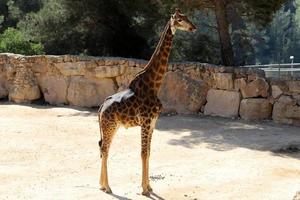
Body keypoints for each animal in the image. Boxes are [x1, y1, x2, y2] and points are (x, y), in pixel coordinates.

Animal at [98, 8, 197, 196]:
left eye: (187, 17)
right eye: (179, 20)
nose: (193, 28)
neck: (154, 85)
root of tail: (100, 109)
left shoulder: (153, 122)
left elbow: (149, 152)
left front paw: (149, 186)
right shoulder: (145, 121)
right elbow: (143, 152)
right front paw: (144, 189)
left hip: (112, 126)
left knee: (102, 148)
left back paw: (101, 185)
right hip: (110, 126)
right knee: (105, 149)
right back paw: (107, 187)